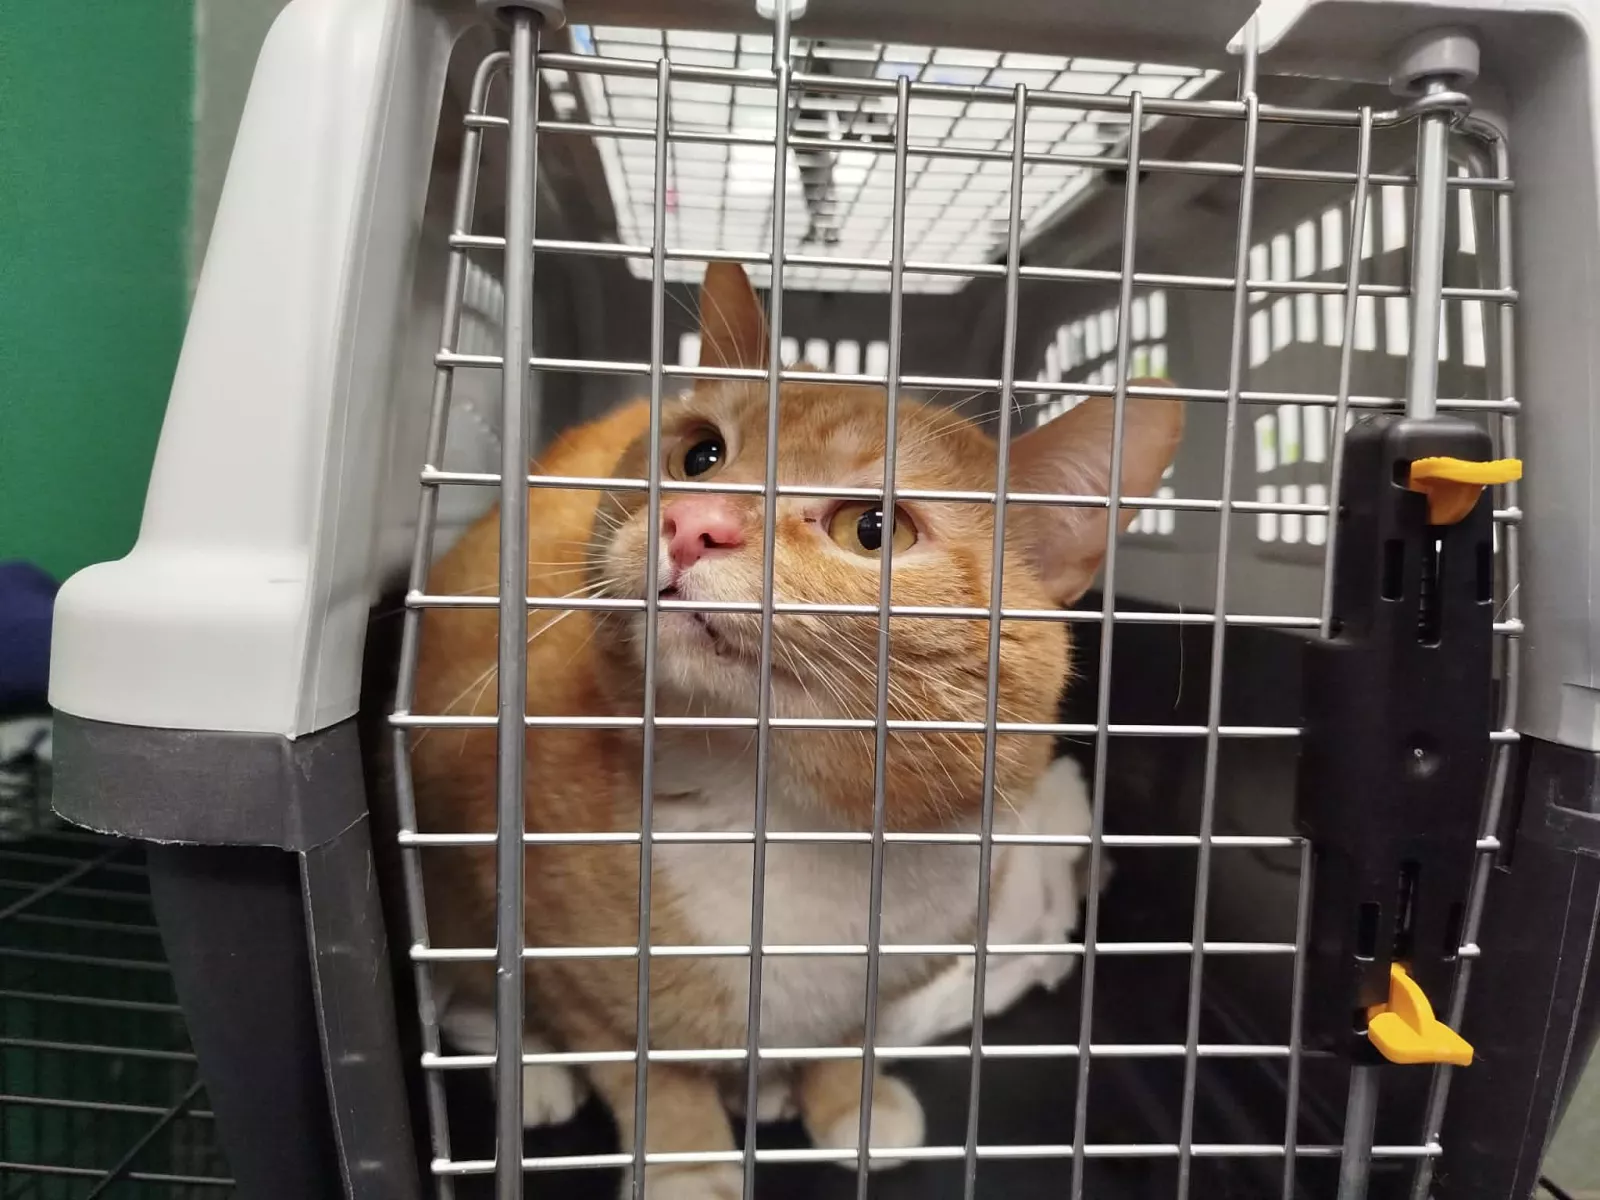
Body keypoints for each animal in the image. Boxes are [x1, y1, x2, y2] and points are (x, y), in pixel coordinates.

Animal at [411, 262, 1183, 1198]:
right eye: (702, 454)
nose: (694, 521)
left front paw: (850, 1104)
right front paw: (688, 1168)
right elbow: (644, 1066)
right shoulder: (572, 965)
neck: (781, 813)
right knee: (468, 994)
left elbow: (844, 1040)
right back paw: (539, 1076)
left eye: (874, 528)